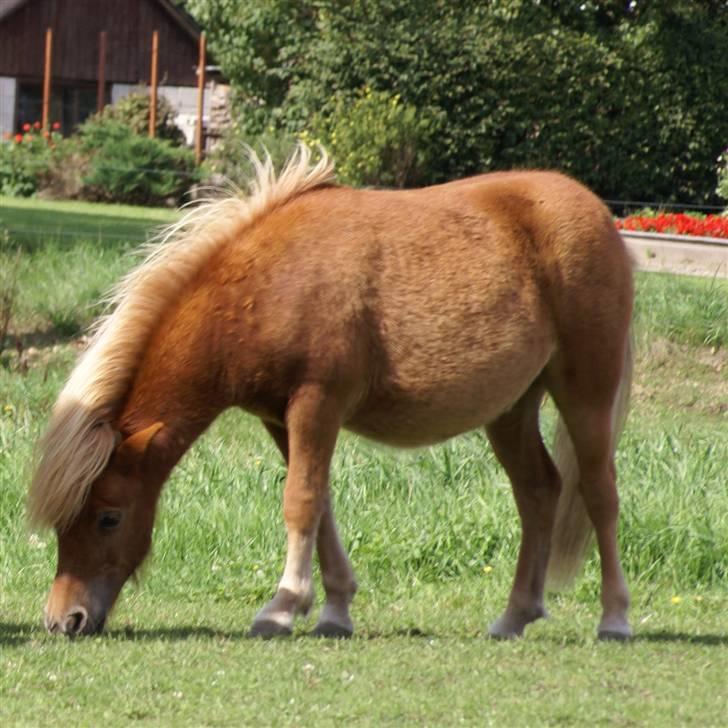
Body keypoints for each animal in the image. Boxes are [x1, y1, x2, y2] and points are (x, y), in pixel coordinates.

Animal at [29, 145, 632, 640]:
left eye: (109, 517)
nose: (66, 619)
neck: (265, 287)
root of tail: (595, 212)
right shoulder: (282, 418)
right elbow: (320, 506)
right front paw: (334, 610)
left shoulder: (316, 403)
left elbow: (300, 502)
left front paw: (281, 608)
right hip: (510, 409)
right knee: (538, 491)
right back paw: (515, 616)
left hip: (585, 394)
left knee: (599, 492)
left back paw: (614, 618)